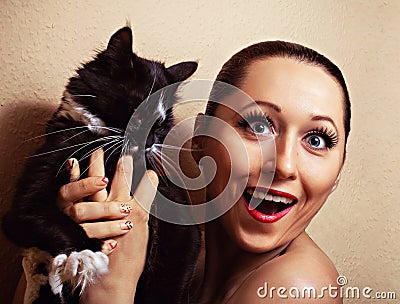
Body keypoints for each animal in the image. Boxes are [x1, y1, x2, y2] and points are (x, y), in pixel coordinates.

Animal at [2, 26, 200, 304]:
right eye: (137, 115)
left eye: (161, 126)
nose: (149, 143)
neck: (106, 148)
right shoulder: (22, 209)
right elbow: (48, 221)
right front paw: (92, 254)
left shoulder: (176, 211)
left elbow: (173, 267)